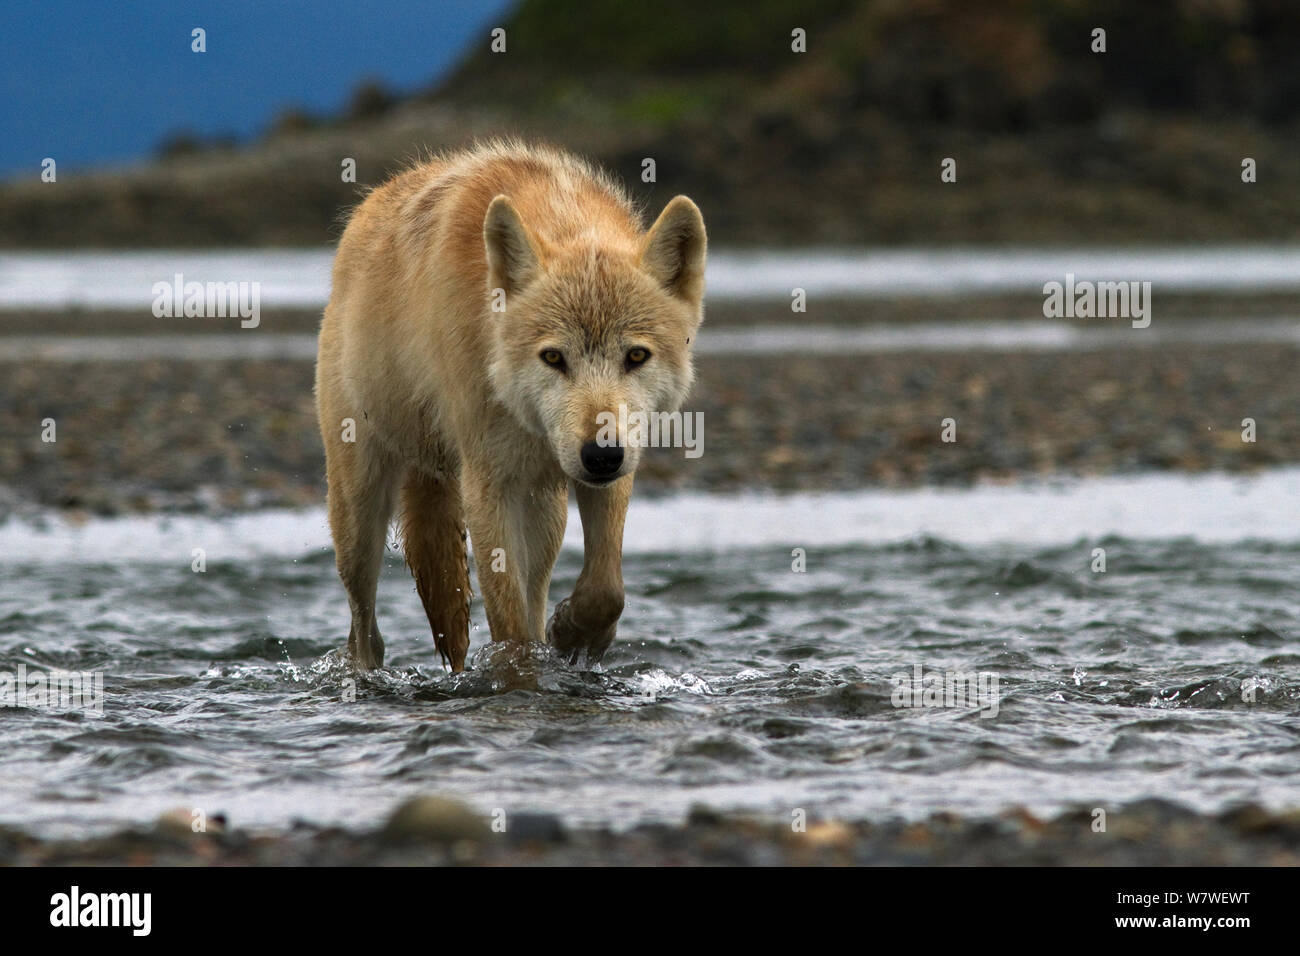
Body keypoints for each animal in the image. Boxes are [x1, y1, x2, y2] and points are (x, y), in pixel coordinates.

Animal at [314, 145, 707, 676]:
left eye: (637, 356)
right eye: (553, 357)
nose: (599, 454)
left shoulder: (617, 466)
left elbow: (606, 590)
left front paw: (573, 635)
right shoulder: (488, 483)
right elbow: (511, 629)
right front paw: (521, 680)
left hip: (543, 511)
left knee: (534, 594)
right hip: (360, 516)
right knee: (365, 634)